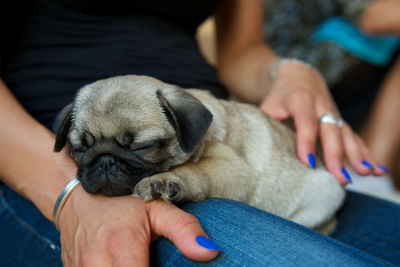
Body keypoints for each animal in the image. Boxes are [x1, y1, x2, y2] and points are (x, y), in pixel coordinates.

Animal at [54, 74, 346, 233]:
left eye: (143, 147)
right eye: (79, 149)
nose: (105, 161)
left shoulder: (235, 170)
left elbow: (198, 169)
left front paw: (166, 180)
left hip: (326, 191)